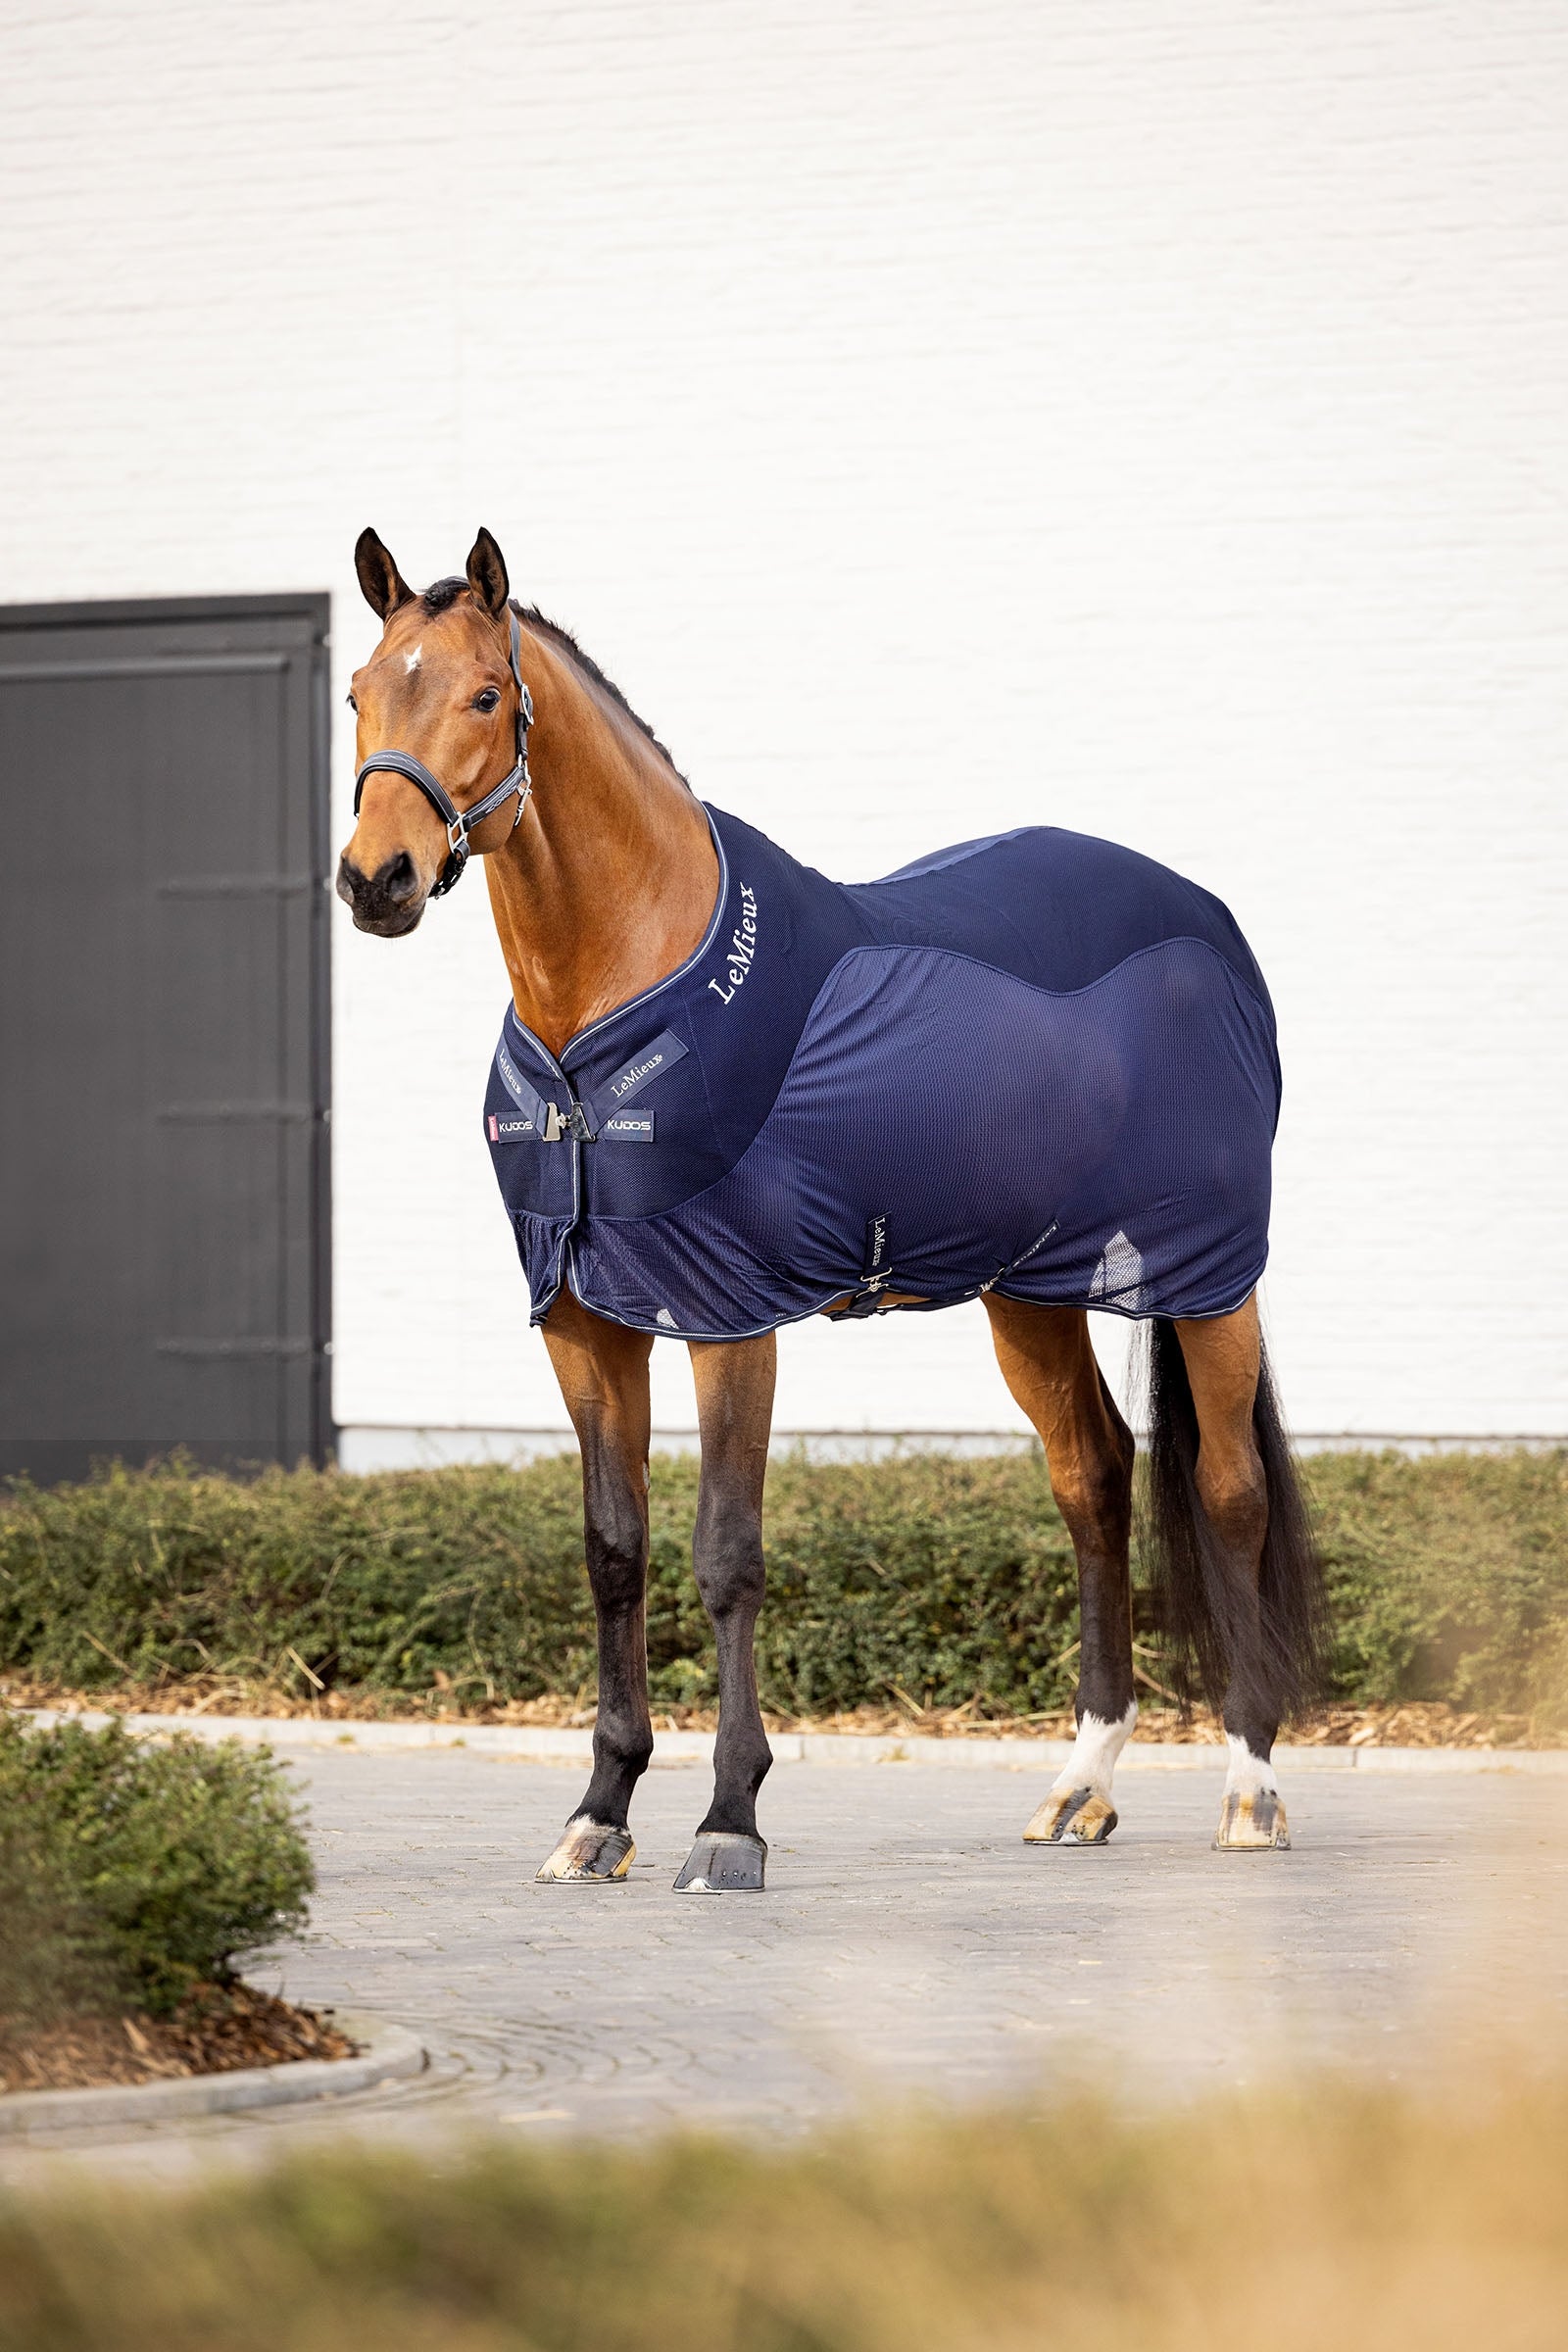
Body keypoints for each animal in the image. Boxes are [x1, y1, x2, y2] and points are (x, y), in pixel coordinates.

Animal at [337, 526, 1323, 1891]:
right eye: (359, 694)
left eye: (484, 696)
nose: (375, 880)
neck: (615, 1004)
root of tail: (1206, 922)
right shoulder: (585, 1322)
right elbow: (612, 1552)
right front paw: (599, 1812)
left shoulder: (728, 1317)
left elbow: (726, 1555)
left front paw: (728, 1823)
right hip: (1028, 1292)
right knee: (1093, 1477)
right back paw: (1079, 1786)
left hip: (1207, 1274)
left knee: (1228, 1492)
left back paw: (1250, 1789)